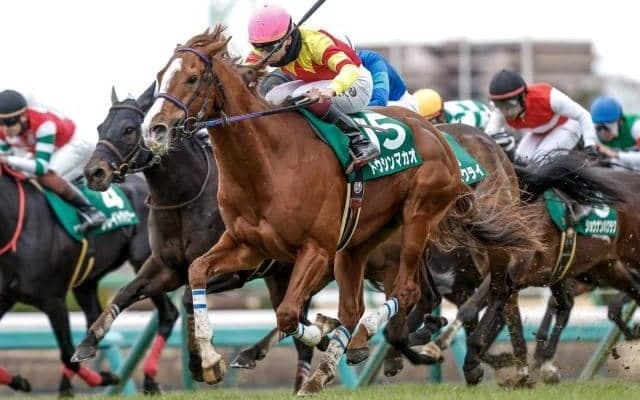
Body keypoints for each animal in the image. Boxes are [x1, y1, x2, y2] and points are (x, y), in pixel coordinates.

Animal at [0, 163, 176, 396]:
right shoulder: (5, 298)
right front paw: (19, 381)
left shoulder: (54, 300)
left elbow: (67, 353)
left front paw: (108, 377)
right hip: (86, 282)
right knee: (94, 319)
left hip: (146, 263)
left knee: (168, 314)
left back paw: (149, 380)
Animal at [140, 26, 538, 395]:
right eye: (159, 76)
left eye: (192, 77)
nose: (154, 129)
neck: (267, 160)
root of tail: (439, 137)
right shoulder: (248, 246)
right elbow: (197, 271)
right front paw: (210, 360)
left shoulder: (315, 249)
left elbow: (289, 314)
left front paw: (321, 333)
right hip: (358, 243)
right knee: (356, 306)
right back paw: (326, 369)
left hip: (419, 217)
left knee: (411, 292)